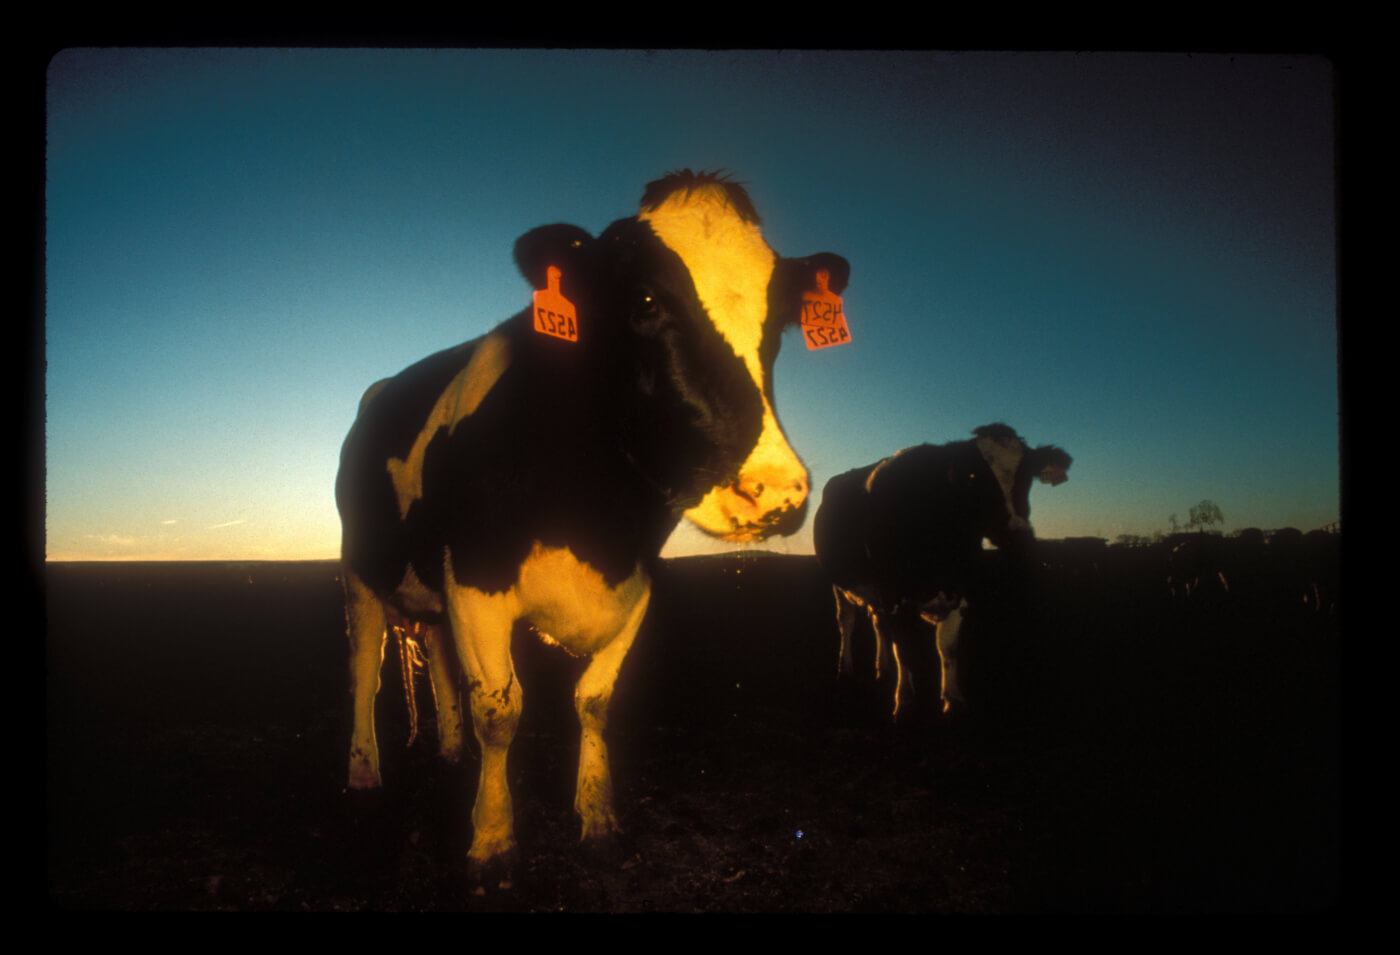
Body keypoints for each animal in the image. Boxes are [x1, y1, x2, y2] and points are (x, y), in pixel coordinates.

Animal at [335, 170, 849, 889]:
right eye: (644, 299)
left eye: (779, 321)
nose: (775, 492)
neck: (596, 523)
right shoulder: (475, 580)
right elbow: (500, 711)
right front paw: (492, 839)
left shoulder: (637, 586)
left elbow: (594, 701)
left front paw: (597, 816)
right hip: (359, 565)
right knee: (363, 667)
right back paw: (363, 772)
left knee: (437, 655)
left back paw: (449, 749)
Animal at [813, 424, 1071, 719]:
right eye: (973, 477)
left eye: (1027, 474)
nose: (1019, 534)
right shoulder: (894, 593)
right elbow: (905, 648)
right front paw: (905, 702)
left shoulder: (961, 588)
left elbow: (947, 648)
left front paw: (953, 700)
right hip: (839, 582)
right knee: (847, 621)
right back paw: (846, 669)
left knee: (879, 624)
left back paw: (884, 668)